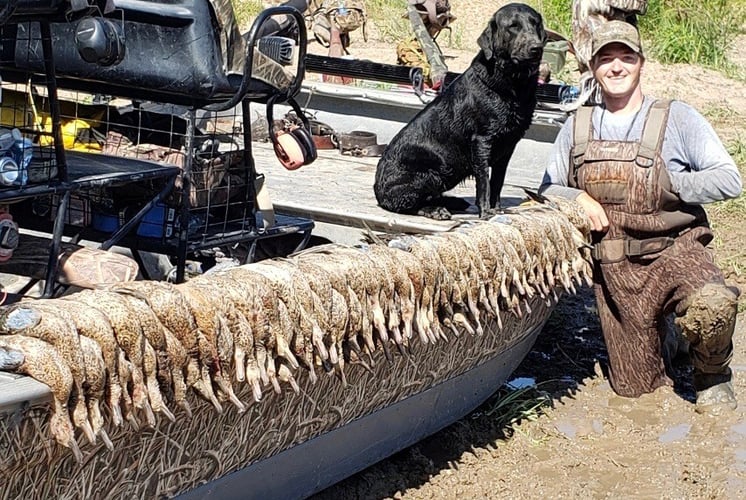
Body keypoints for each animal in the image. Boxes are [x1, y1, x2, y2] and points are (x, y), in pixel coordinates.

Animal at [374, 3, 544, 219]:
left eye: (535, 24)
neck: (513, 85)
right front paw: (486, 212)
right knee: (408, 203)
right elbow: (484, 182)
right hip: (431, 173)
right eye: (513, 26)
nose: (536, 48)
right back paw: (436, 210)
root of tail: (377, 190)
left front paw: (497, 209)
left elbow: (497, 182)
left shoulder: (508, 146)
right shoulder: (482, 141)